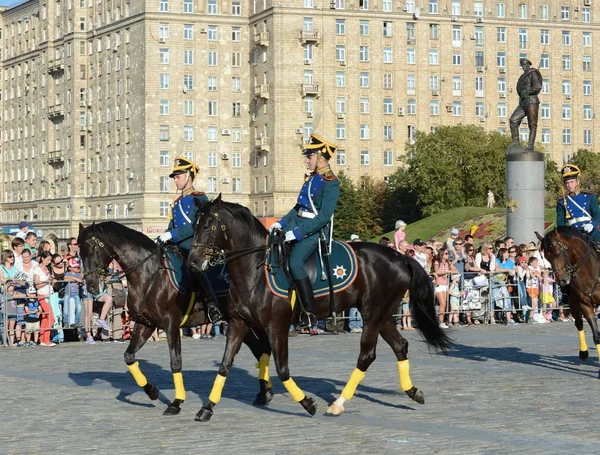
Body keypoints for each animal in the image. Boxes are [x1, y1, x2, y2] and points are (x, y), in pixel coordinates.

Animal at [77, 222, 272, 416]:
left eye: (92, 249)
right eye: (79, 252)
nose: (92, 286)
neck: (149, 274)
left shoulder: (171, 324)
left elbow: (175, 362)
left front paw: (176, 402)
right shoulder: (145, 324)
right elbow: (129, 357)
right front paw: (152, 391)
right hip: (238, 323)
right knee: (259, 350)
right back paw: (264, 393)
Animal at [188, 197, 450, 424]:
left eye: (209, 225)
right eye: (194, 225)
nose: (193, 261)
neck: (256, 271)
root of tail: (399, 257)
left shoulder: (277, 326)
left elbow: (282, 369)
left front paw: (307, 403)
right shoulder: (238, 324)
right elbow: (225, 366)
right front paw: (207, 408)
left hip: (374, 315)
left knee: (367, 355)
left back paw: (338, 403)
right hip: (383, 315)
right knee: (399, 346)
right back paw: (412, 391)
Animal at [536, 228, 600, 374]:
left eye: (559, 253)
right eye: (547, 257)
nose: (562, 281)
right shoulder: (585, 305)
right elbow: (596, 335)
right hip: (573, 303)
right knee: (579, 323)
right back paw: (583, 353)